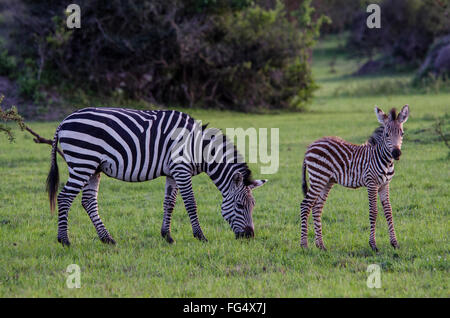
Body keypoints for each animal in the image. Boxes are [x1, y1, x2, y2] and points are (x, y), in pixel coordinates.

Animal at [47, 108, 268, 247]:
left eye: (253, 206)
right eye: (240, 206)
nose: (250, 236)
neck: (198, 148)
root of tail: (64, 120)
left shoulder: (172, 172)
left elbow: (169, 203)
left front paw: (167, 236)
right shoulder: (181, 169)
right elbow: (190, 203)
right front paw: (200, 236)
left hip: (93, 167)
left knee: (88, 201)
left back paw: (107, 239)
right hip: (82, 162)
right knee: (65, 197)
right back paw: (64, 240)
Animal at [300, 104, 410, 251]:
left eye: (402, 134)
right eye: (387, 134)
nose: (396, 153)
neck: (385, 160)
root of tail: (311, 146)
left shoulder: (385, 185)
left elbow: (389, 212)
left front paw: (394, 243)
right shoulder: (371, 184)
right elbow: (373, 212)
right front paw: (373, 245)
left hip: (327, 181)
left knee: (317, 208)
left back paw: (321, 245)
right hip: (318, 178)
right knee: (305, 205)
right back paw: (304, 245)